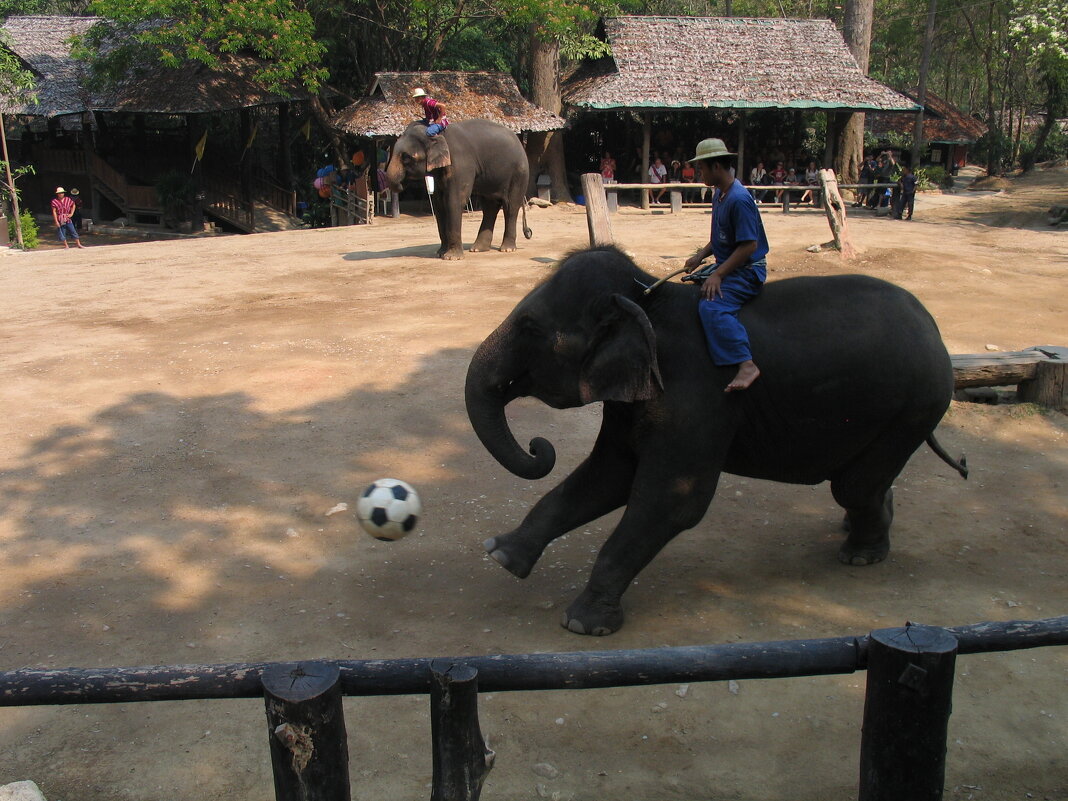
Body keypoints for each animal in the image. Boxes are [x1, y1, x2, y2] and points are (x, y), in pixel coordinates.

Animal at [386, 118, 531, 260]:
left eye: (406, 158)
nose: (401, 185)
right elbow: (439, 205)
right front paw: (440, 254)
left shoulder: (461, 164)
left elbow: (454, 201)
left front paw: (451, 258)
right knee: (489, 207)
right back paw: (477, 249)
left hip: (519, 173)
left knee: (510, 206)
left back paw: (507, 249)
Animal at [461, 247, 969, 636]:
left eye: (530, 327)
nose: (538, 445)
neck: (647, 297)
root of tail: (934, 328)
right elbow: (607, 476)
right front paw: (502, 555)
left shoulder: (697, 396)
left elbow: (672, 499)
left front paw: (582, 624)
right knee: (863, 483)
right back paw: (864, 531)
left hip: (915, 404)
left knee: (855, 486)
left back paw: (860, 556)